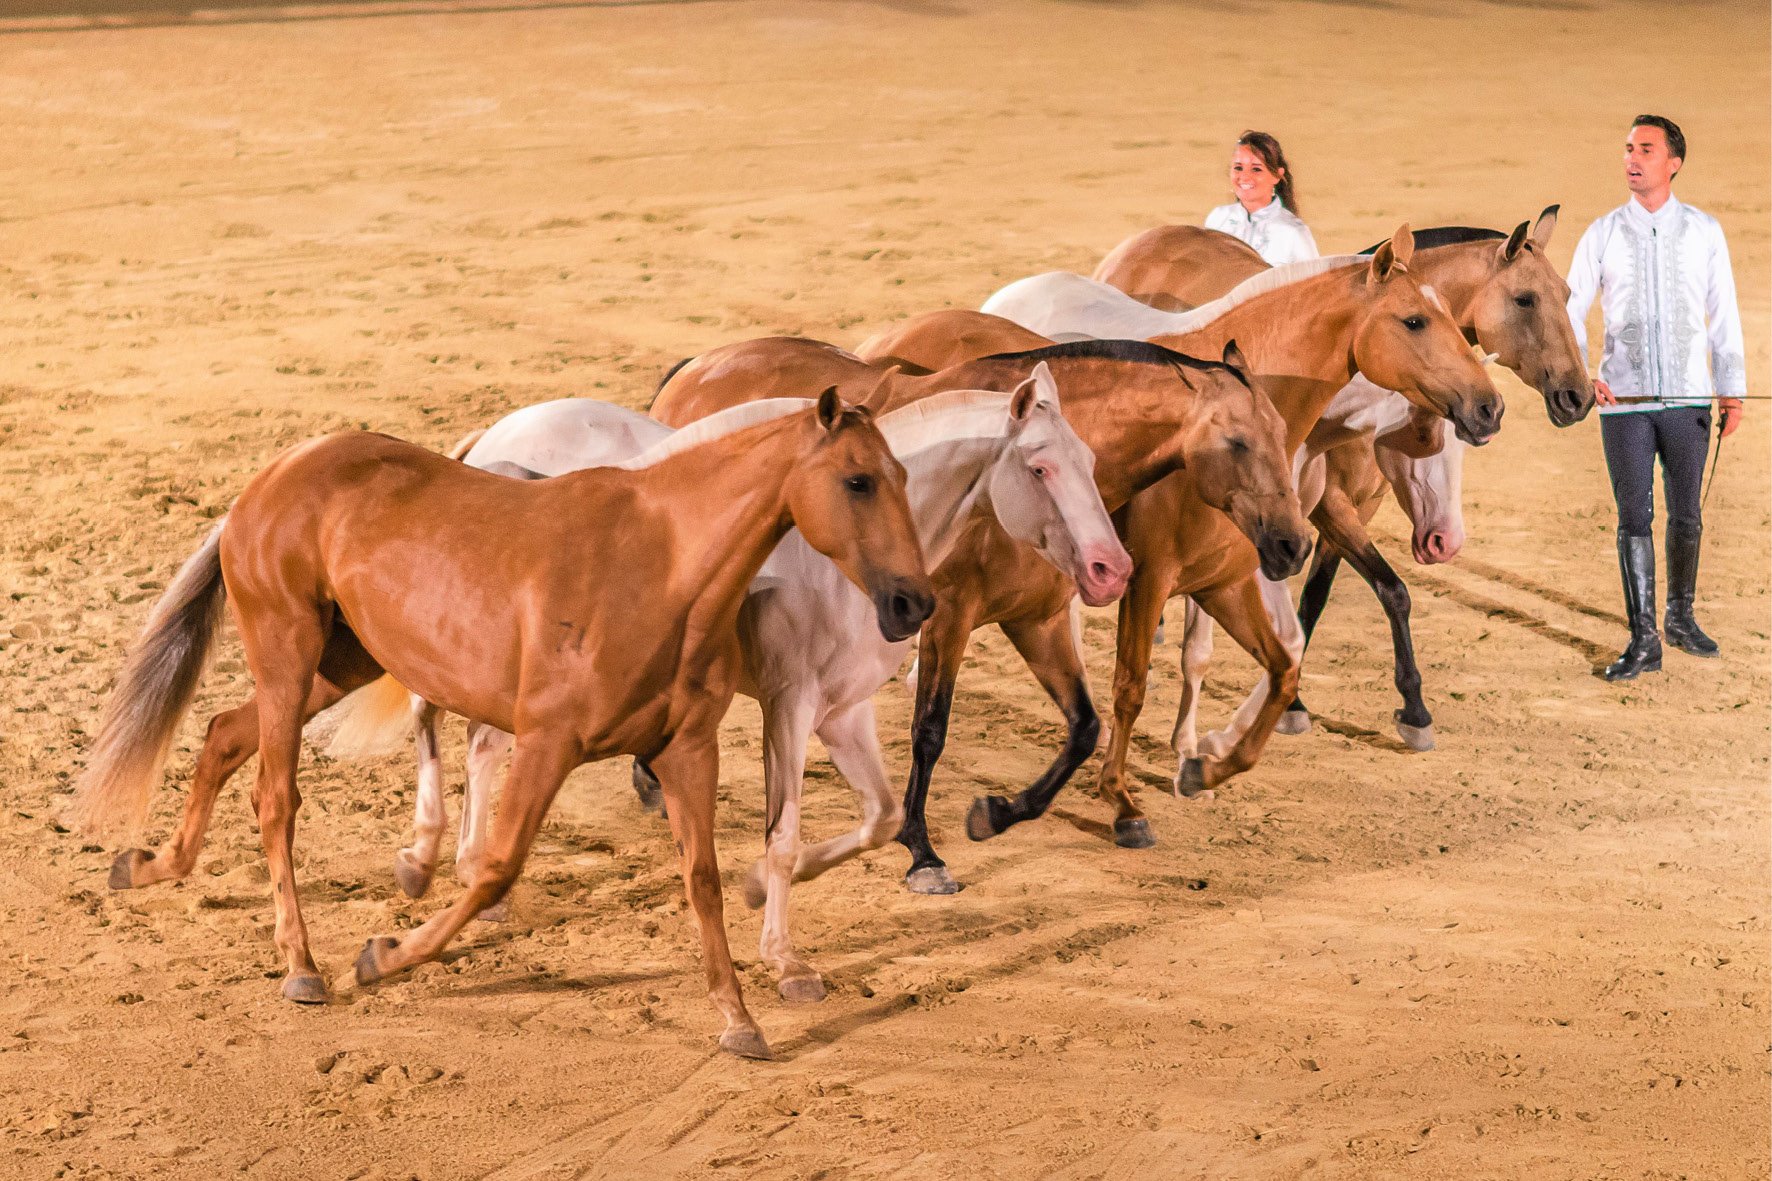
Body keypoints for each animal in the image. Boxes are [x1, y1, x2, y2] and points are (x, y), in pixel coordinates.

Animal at [71, 389, 932, 1059]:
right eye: (858, 480)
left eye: (902, 477)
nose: (913, 602)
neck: (663, 568)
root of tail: (267, 480)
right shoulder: (549, 742)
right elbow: (495, 867)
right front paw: (384, 955)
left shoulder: (688, 750)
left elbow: (704, 879)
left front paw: (739, 1017)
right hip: (288, 657)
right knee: (276, 799)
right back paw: (302, 963)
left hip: (338, 664)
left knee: (221, 732)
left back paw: (147, 865)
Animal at [345, 365, 1129, 998]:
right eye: (1039, 468)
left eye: (1091, 460)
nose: (1110, 569)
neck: (836, 567)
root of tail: (489, 442)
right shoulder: (791, 706)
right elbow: (784, 835)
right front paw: (785, 960)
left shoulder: (845, 714)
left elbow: (876, 819)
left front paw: (756, 890)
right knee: (431, 717)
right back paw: (421, 857)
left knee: (480, 744)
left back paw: (473, 871)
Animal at [652, 336, 1312, 889]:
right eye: (1237, 441)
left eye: (1283, 433)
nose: (1293, 543)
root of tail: (695, 370)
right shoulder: (947, 617)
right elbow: (930, 730)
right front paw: (923, 853)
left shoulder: (1039, 620)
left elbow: (1085, 725)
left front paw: (997, 813)